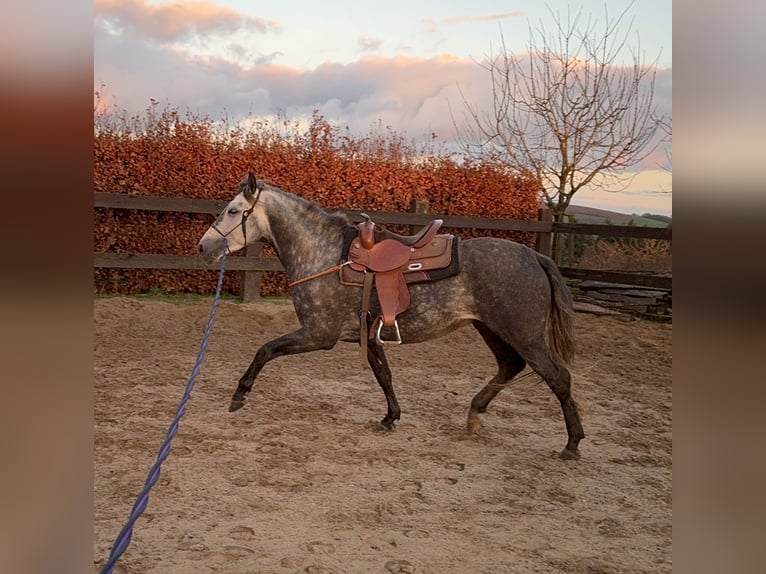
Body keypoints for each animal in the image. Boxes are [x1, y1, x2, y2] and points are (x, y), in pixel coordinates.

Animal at [200, 173, 588, 462]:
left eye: (233, 211)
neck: (326, 255)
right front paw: (390, 418)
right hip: (491, 329)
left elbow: (265, 350)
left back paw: (572, 444)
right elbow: (384, 375)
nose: (203, 247)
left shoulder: (318, 334)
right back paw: (475, 414)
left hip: (524, 335)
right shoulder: (368, 335)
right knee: (510, 366)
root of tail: (534, 257)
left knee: (558, 378)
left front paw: (239, 395)